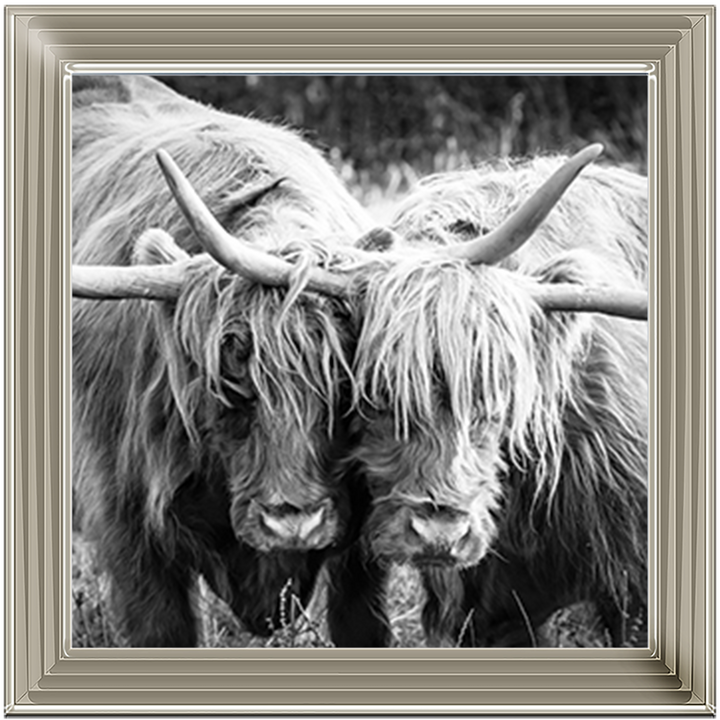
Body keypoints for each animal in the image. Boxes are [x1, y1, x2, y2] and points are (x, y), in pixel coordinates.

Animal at [71, 75, 383, 647]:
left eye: (343, 386)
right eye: (230, 382)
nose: (293, 523)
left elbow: (361, 622)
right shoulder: (127, 525)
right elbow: (162, 630)